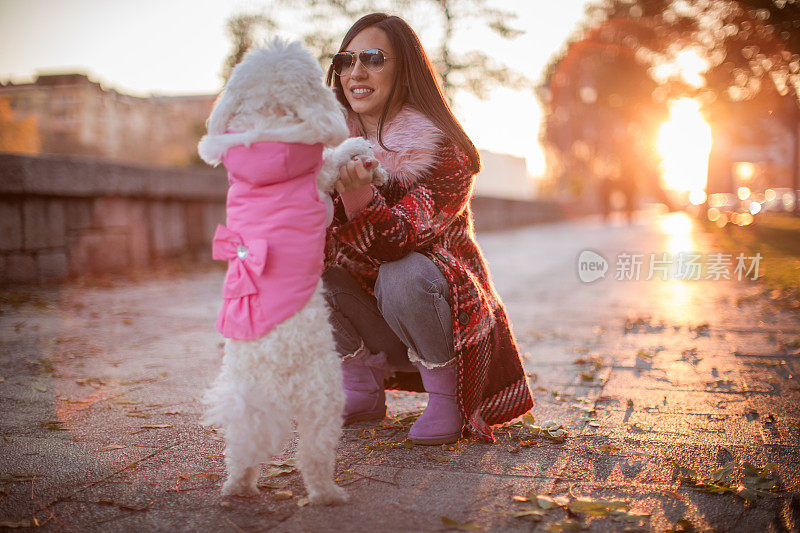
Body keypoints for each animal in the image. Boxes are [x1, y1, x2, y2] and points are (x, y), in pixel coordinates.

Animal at [196, 37, 384, 502]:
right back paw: (328, 494)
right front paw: (364, 156)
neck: (265, 131)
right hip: (323, 395)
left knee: (242, 448)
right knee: (314, 454)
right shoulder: (319, 182)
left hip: (247, 407)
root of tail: (270, 370)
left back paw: (239, 488)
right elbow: (337, 157)